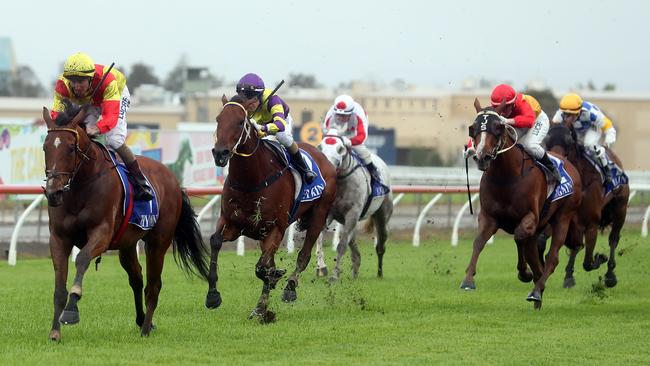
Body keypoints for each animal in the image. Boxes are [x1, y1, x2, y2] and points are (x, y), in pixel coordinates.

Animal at [206, 95, 340, 324]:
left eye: (240, 122)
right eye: (218, 119)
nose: (220, 153)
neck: (252, 179)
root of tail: (322, 156)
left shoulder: (275, 229)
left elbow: (263, 267)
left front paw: (261, 308)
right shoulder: (232, 223)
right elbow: (215, 242)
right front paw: (213, 296)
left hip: (319, 214)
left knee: (304, 255)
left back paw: (290, 288)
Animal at [458, 98, 580, 308]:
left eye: (498, 127)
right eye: (472, 129)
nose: (482, 156)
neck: (507, 177)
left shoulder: (529, 218)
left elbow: (518, 236)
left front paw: (525, 273)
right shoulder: (489, 217)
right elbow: (478, 242)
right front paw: (468, 280)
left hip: (563, 218)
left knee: (552, 257)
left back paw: (536, 292)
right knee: (535, 254)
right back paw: (537, 287)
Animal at [540, 124, 628, 288]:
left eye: (569, 143)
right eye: (546, 141)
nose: (555, 163)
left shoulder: (591, 223)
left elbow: (588, 263)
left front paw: (601, 258)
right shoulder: (563, 218)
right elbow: (542, 241)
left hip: (621, 208)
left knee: (613, 239)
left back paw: (610, 275)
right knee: (577, 246)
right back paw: (569, 276)